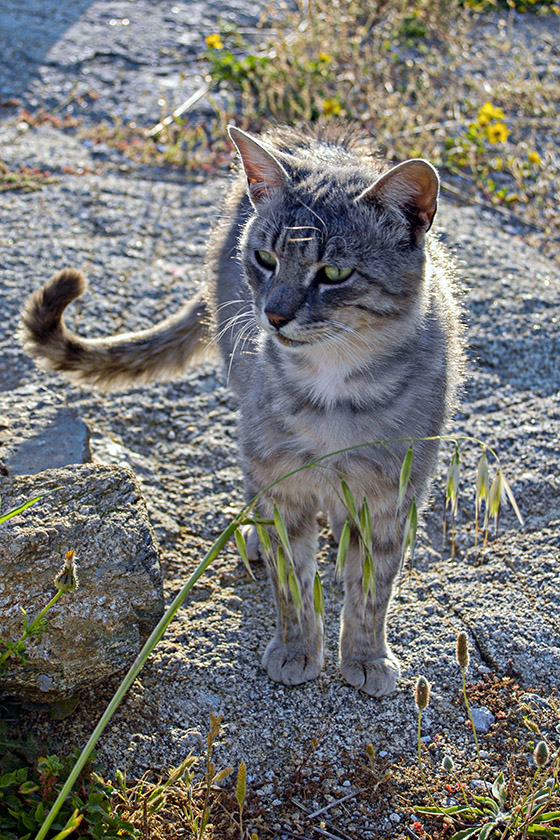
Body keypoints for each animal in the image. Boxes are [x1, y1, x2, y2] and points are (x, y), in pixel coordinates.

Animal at [20, 120, 464, 696]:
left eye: (334, 272)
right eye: (266, 260)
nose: (274, 314)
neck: (333, 387)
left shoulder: (393, 492)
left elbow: (372, 588)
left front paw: (366, 656)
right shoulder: (280, 477)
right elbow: (292, 582)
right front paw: (297, 649)